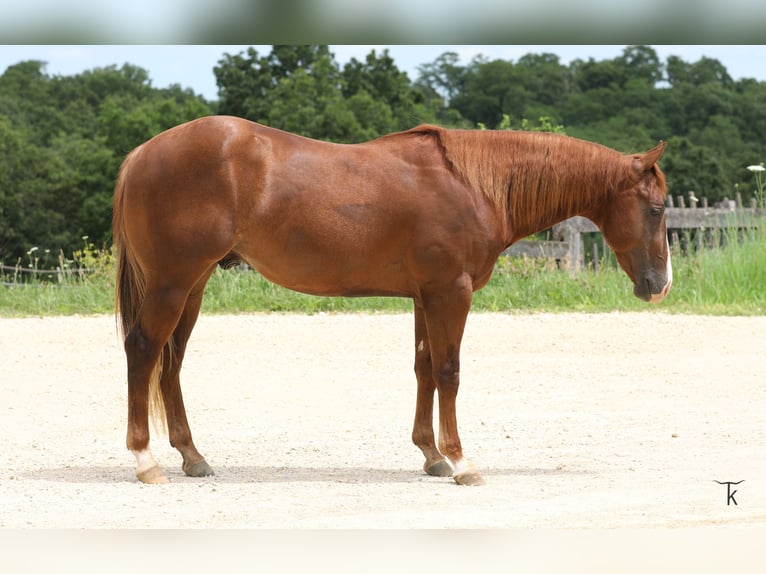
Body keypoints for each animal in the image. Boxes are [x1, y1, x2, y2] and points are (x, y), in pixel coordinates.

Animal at [113, 116, 672, 486]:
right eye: (656, 208)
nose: (660, 285)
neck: (474, 186)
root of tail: (142, 153)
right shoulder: (451, 293)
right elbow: (449, 372)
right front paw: (462, 462)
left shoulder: (426, 297)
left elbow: (425, 369)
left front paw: (432, 456)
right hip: (172, 281)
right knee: (143, 351)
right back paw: (146, 462)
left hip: (193, 284)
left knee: (171, 362)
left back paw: (193, 457)